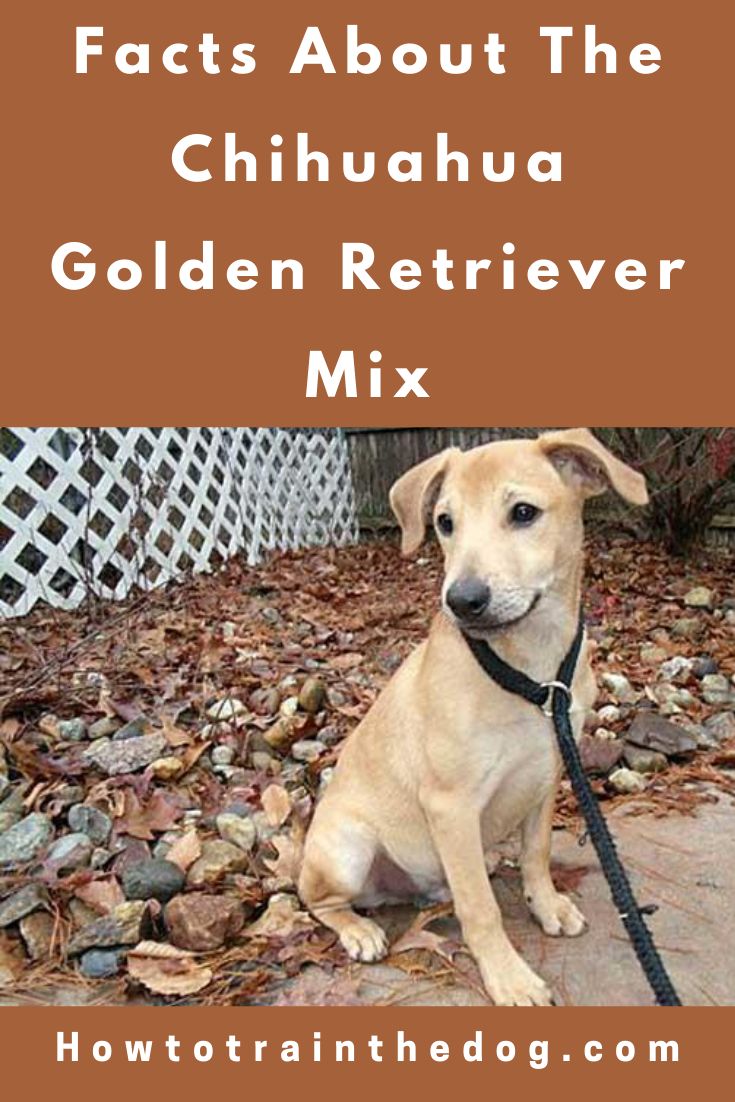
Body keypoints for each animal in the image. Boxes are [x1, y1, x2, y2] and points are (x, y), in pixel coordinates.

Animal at [295, 429, 647, 1009]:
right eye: (444, 522)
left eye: (524, 512)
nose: (462, 600)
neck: (529, 671)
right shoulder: (450, 804)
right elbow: (481, 908)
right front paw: (508, 976)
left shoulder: (549, 771)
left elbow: (536, 853)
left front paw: (546, 906)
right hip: (346, 848)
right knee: (318, 901)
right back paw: (359, 930)